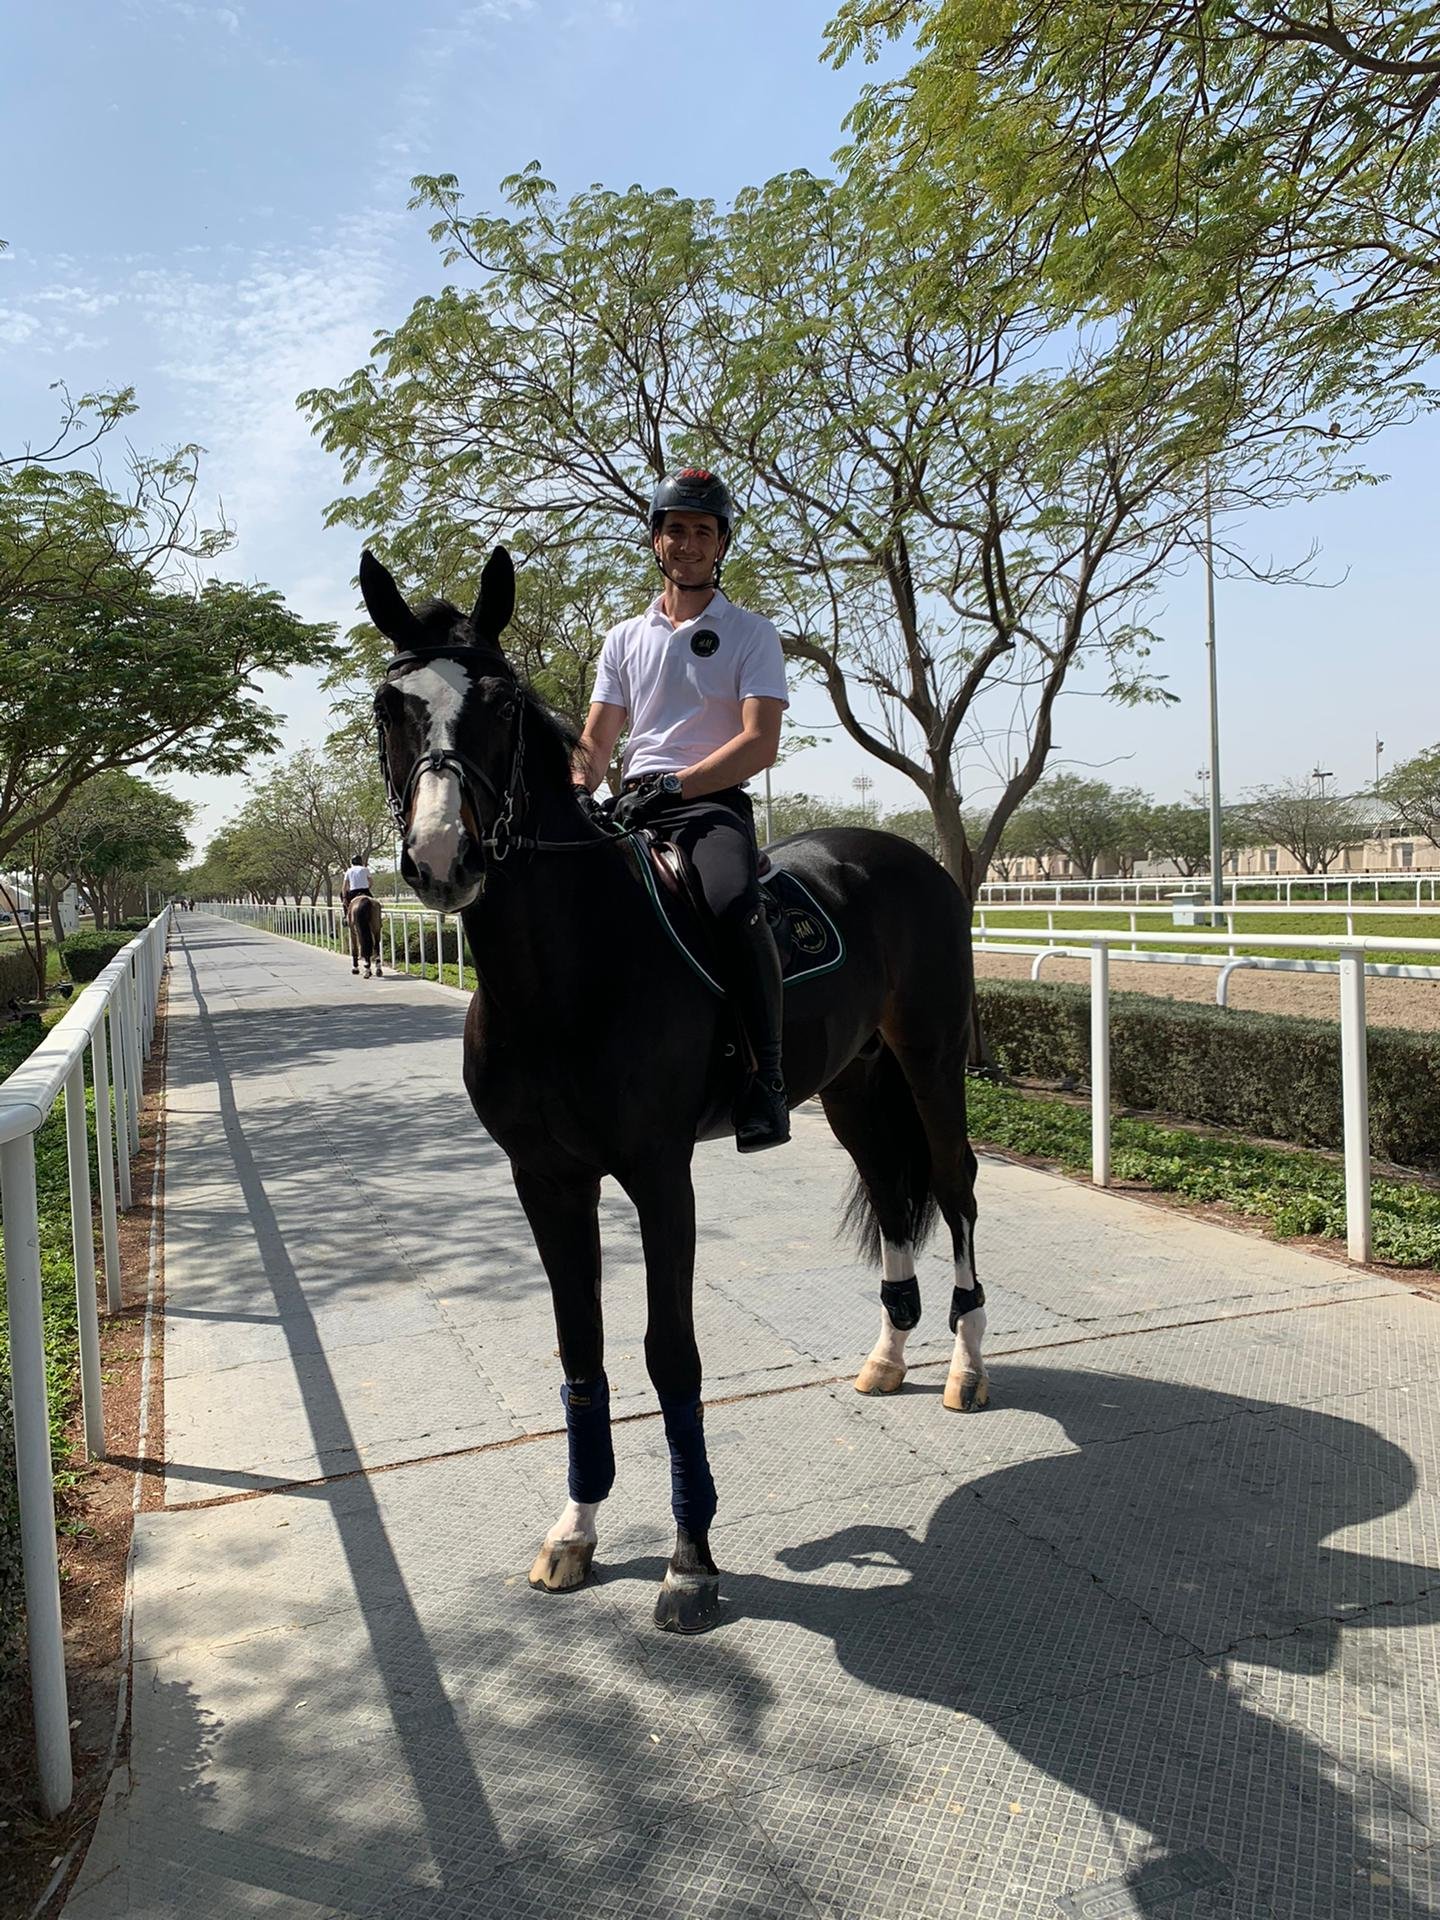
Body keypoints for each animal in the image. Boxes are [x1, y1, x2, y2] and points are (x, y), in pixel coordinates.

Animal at [362, 549, 990, 1628]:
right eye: (388, 706)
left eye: (501, 703)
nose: (443, 859)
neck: (566, 973)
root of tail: (901, 854)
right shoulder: (546, 1179)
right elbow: (580, 1350)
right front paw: (576, 1529)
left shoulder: (660, 1175)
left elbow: (671, 1354)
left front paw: (691, 1559)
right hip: (855, 1087)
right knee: (892, 1193)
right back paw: (888, 1356)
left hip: (930, 1060)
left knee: (953, 1188)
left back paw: (964, 1365)